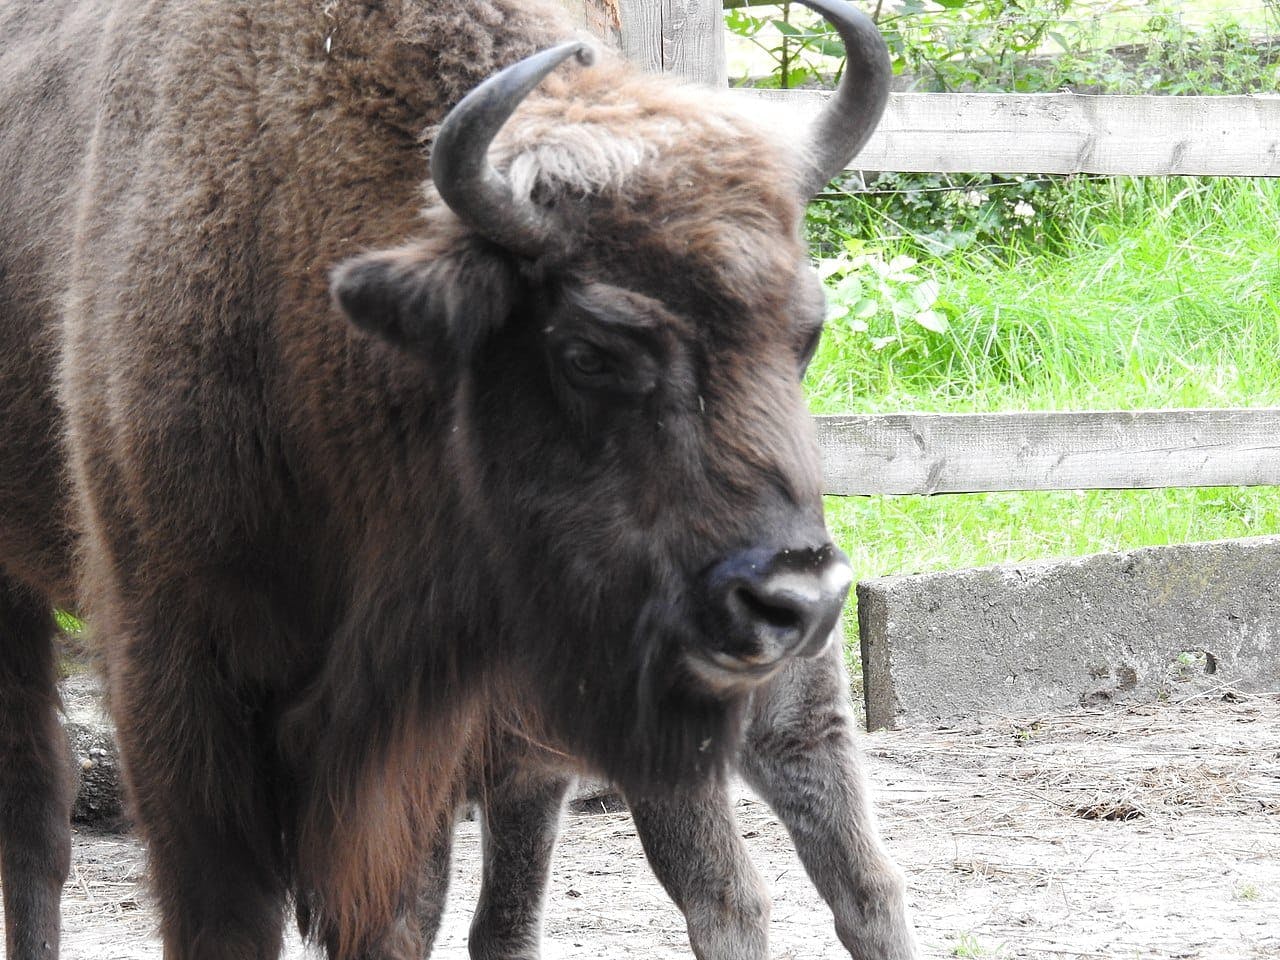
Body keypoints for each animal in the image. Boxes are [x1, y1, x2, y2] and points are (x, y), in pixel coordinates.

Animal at [0, 0, 880, 957]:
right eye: (588, 351)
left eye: (808, 331)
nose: (796, 600)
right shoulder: (179, 682)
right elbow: (227, 913)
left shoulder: (414, 742)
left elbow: (406, 907)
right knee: (37, 813)